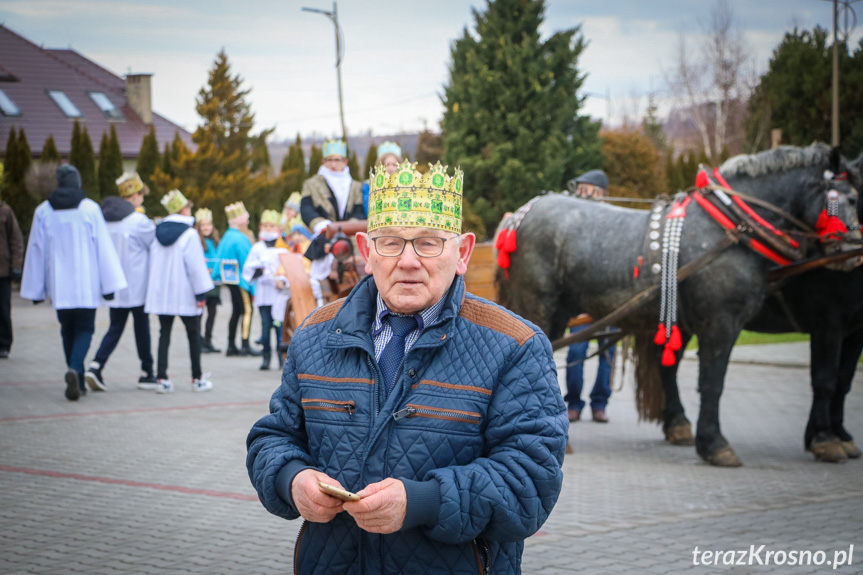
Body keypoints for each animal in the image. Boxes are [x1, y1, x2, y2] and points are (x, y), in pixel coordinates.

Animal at [496, 144, 860, 468]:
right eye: (851, 198)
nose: (852, 252)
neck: (730, 226)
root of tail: (519, 215)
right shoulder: (727, 322)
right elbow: (716, 382)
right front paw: (715, 444)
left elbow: (837, 382)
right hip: (539, 305)